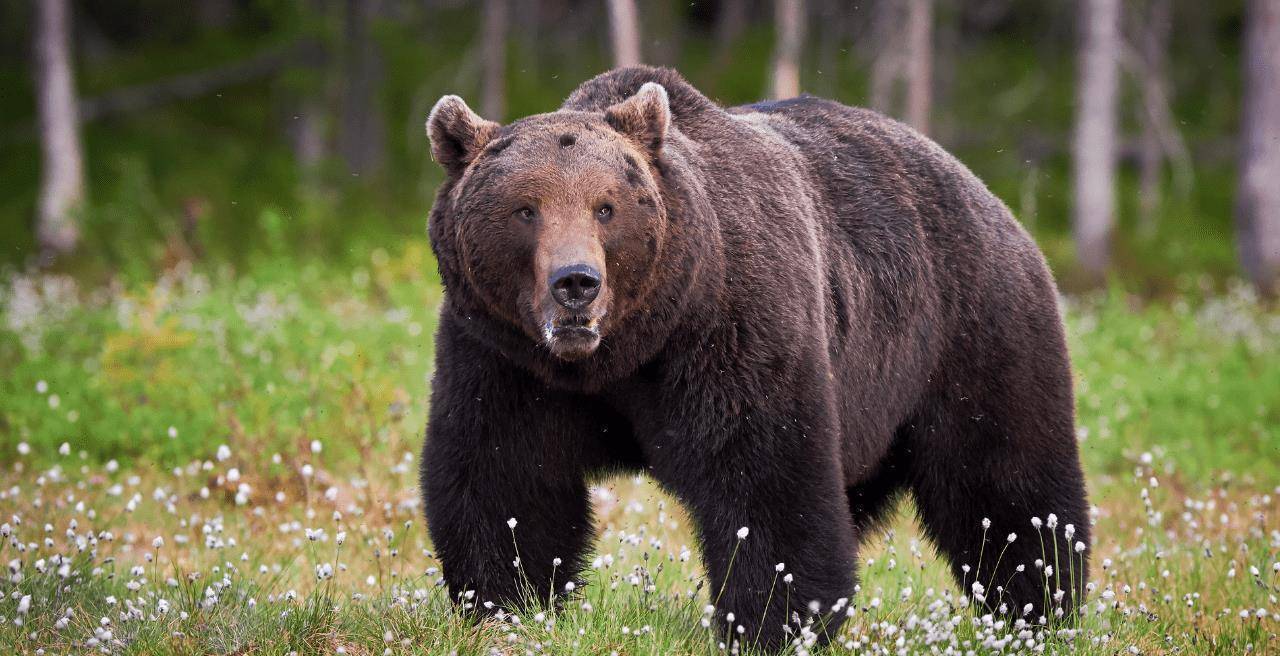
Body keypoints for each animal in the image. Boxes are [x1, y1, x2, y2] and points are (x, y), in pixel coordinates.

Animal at [419, 66, 1090, 650]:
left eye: (606, 206)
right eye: (525, 208)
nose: (576, 282)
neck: (622, 353)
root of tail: (990, 196)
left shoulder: (732, 328)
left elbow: (764, 478)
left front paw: (768, 621)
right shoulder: (503, 356)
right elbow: (504, 476)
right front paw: (510, 602)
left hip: (971, 334)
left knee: (1006, 484)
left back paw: (1039, 608)